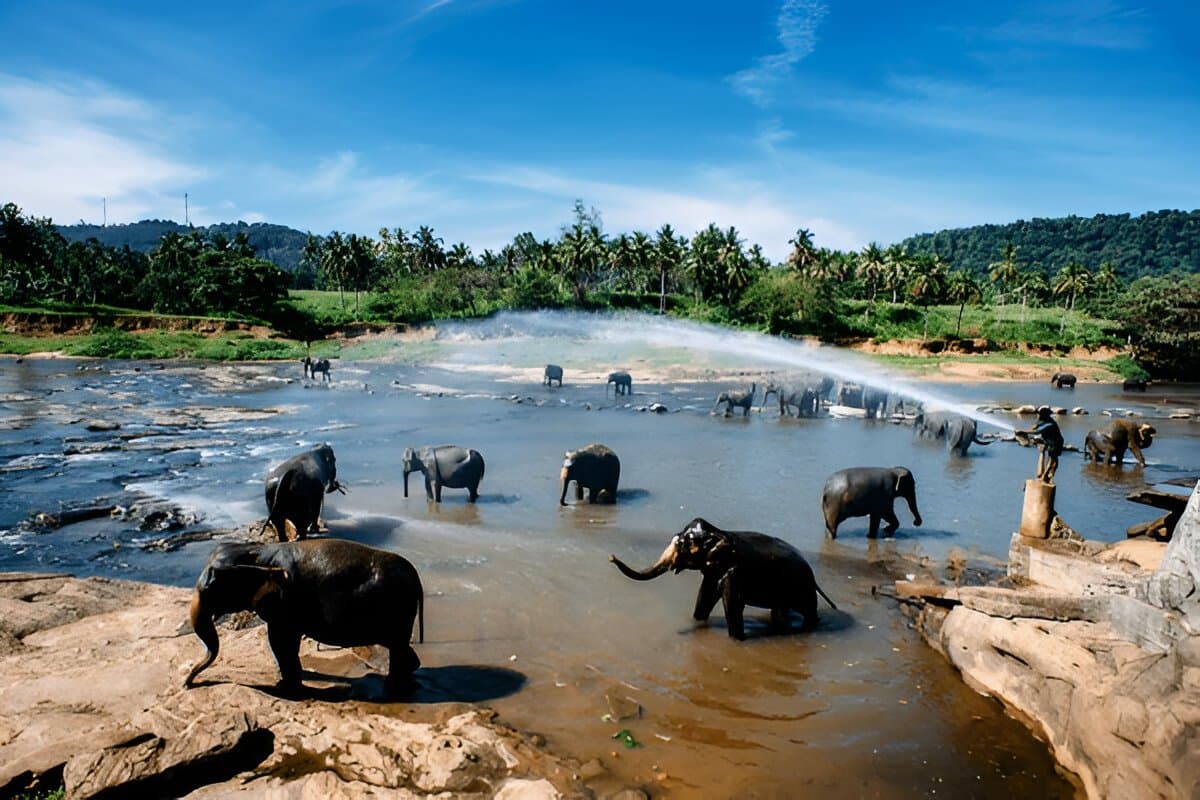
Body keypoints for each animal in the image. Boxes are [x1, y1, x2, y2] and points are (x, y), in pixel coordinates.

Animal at [185, 539, 423, 695]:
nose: (188, 684)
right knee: (398, 645)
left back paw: (394, 688)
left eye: (211, 588)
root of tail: (416, 577)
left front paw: (284, 686)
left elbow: (280, 641)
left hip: (398, 610)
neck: (257, 551)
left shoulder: (285, 603)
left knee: (397, 645)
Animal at [609, 517, 837, 640]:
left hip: (802, 588)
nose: (611, 557)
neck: (719, 532)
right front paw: (697, 621)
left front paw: (737, 639)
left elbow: (732, 605)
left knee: (809, 612)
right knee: (780, 610)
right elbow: (705, 597)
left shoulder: (734, 573)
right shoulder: (713, 571)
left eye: (683, 545)